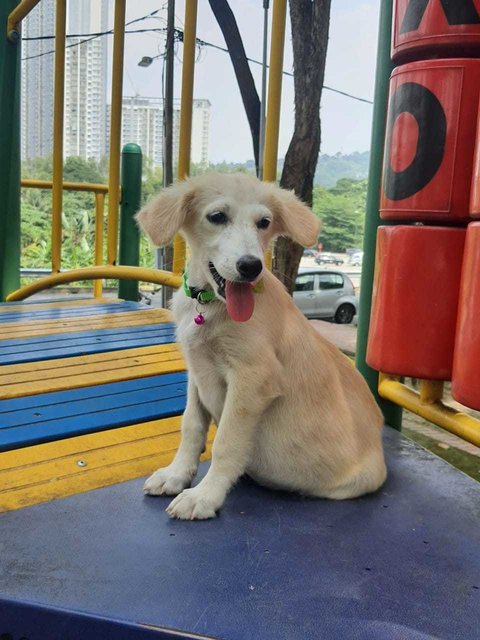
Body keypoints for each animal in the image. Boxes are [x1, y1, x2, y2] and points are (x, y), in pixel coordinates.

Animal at [135, 171, 386, 520]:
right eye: (217, 217)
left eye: (264, 223)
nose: (251, 266)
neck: (209, 305)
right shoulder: (196, 370)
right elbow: (191, 426)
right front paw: (176, 475)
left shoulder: (253, 378)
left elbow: (226, 442)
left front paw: (205, 496)